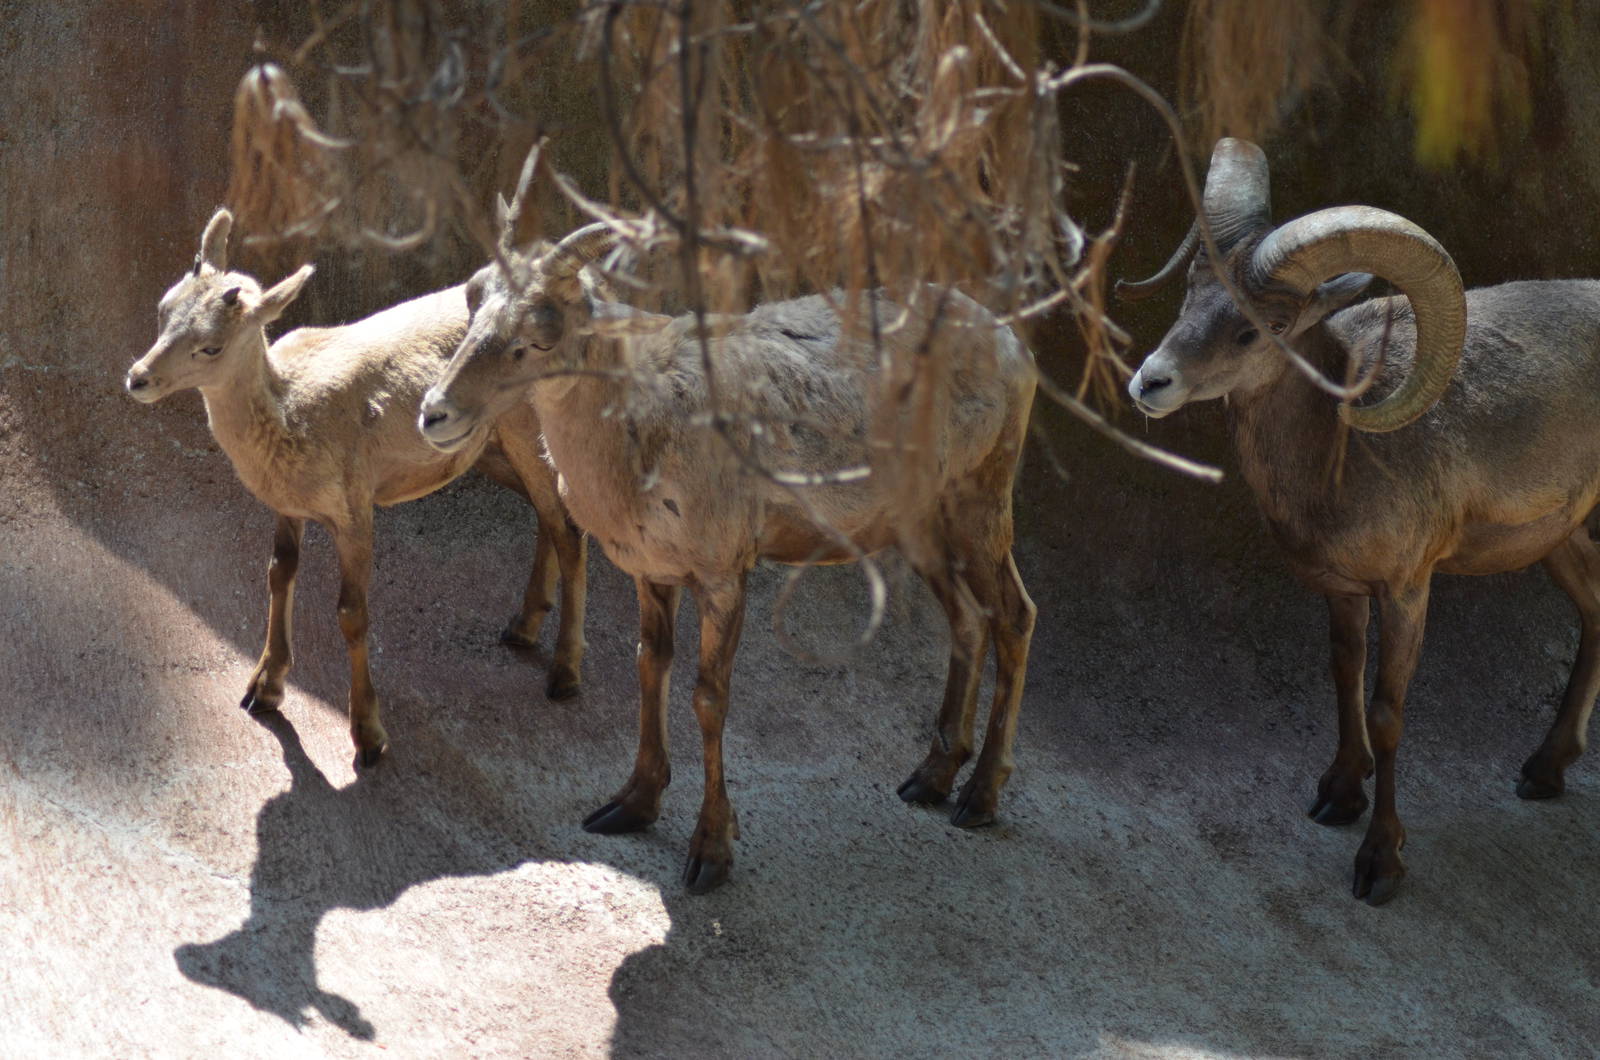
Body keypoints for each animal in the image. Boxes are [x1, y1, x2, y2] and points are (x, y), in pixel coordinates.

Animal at [125, 208, 588, 767]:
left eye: (210, 345)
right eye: (164, 307)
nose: (138, 378)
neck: (291, 413)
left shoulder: (354, 506)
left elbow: (351, 612)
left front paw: (368, 736)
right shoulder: (288, 506)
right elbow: (279, 572)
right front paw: (263, 688)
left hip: (527, 430)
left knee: (569, 528)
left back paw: (564, 675)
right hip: (491, 450)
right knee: (547, 514)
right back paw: (522, 627)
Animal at [416, 201, 1038, 894]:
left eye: (538, 335)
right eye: (473, 304)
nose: (434, 413)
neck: (645, 431)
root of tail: (1012, 345)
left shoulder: (722, 572)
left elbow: (709, 698)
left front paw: (710, 853)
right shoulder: (653, 570)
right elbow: (649, 666)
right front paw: (629, 806)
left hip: (982, 495)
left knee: (1014, 616)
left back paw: (979, 798)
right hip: (922, 519)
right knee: (969, 620)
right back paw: (929, 779)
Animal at [1124, 137, 1600, 904]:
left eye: (1266, 327)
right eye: (1190, 293)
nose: (1150, 382)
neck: (1338, 452)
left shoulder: (1407, 590)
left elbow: (1387, 712)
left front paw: (1380, 863)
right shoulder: (1343, 590)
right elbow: (1343, 673)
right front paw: (1339, 796)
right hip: (1559, 540)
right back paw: (1544, 771)